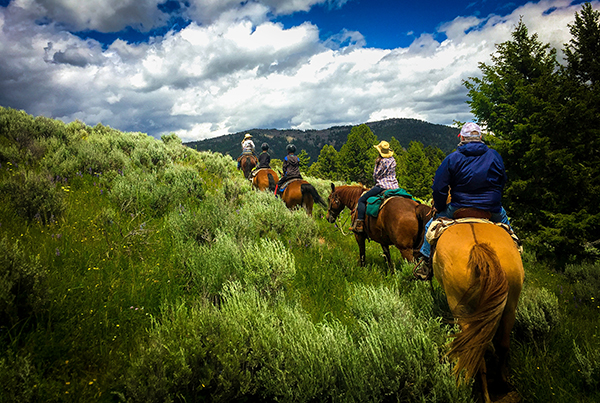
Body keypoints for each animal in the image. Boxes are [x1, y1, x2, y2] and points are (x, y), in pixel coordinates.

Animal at [432, 224, 524, 403]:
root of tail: (478, 246)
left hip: (461, 311)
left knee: (477, 355)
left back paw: (484, 394)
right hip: (510, 308)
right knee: (503, 345)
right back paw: (501, 383)